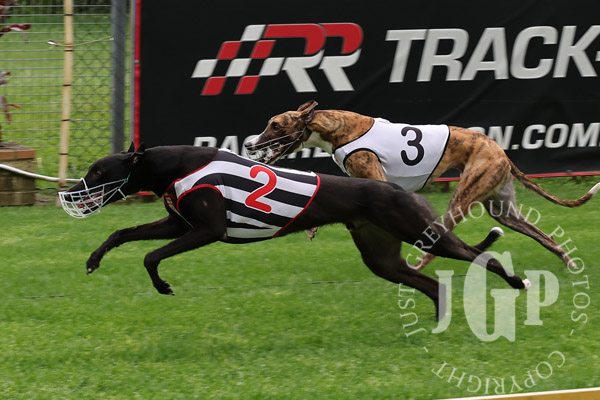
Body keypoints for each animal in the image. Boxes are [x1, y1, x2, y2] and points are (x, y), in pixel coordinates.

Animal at [59, 143, 529, 319]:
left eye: (97, 170)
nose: (71, 191)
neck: (173, 164)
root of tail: (395, 187)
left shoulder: (206, 230)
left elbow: (150, 255)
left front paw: (163, 286)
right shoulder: (177, 223)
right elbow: (123, 234)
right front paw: (93, 260)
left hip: (420, 231)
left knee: (479, 254)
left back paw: (516, 282)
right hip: (382, 256)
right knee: (431, 282)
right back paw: (440, 317)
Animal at [244, 100, 599, 269]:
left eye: (275, 125)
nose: (249, 145)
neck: (337, 127)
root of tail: (500, 150)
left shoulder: (376, 179)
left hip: (463, 198)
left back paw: (420, 264)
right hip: (503, 209)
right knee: (545, 236)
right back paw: (568, 263)